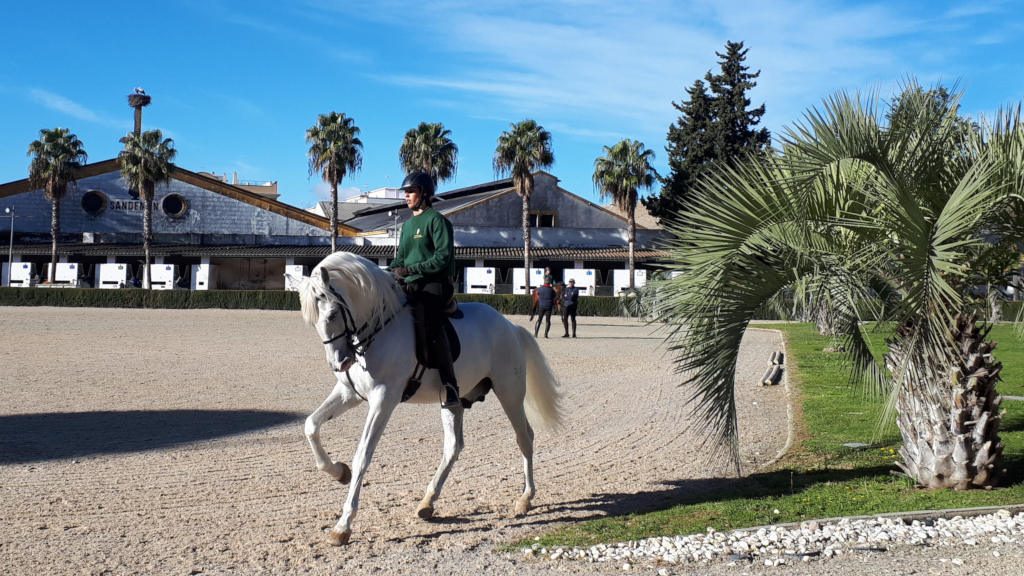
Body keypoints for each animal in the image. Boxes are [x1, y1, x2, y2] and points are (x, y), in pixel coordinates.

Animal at [296, 251, 565, 541]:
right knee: (453, 446)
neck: (378, 328)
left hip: (509, 392)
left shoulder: (383, 399)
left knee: (524, 438)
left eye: (333, 314)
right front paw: (338, 472)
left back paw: (525, 498)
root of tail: (510, 326)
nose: (338, 363)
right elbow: (311, 425)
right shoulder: (349, 393)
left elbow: (363, 455)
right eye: (312, 321)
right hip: (452, 399)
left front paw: (343, 525)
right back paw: (428, 502)